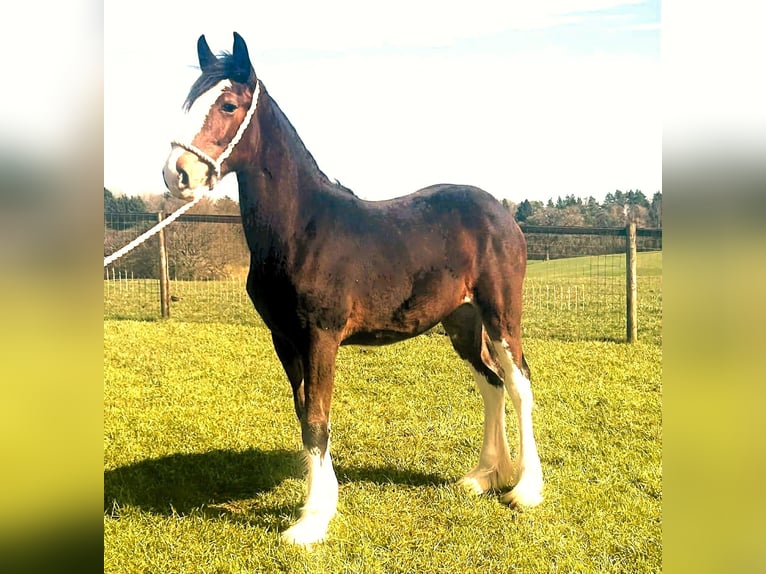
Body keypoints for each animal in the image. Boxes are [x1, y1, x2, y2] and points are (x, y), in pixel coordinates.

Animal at [162, 31, 543, 546]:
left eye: (228, 104)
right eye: (188, 104)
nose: (177, 173)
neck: (301, 229)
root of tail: (502, 212)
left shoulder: (321, 338)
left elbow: (318, 421)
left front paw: (311, 521)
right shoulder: (285, 342)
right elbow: (306, 417)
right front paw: (320, 505)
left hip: (501, 313)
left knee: (519, 383)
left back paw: (525, 489)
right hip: (462, 321)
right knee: (491, 382)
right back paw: (483, 476)